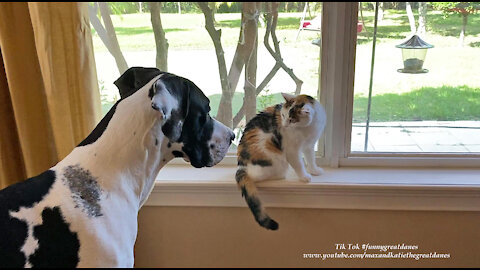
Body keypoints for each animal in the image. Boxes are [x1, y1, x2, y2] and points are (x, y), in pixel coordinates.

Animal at [235, 92, 326, 230]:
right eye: (283, 115)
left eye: (292, 119)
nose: (284, 125)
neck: (308, 128)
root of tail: (242, 166)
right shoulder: (292, 150)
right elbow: (299, 164)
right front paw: (304, 177)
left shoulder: (309, 145)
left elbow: (311, 159)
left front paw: (314, 170)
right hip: (277, 160)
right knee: (260, 175)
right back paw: (281, 175)